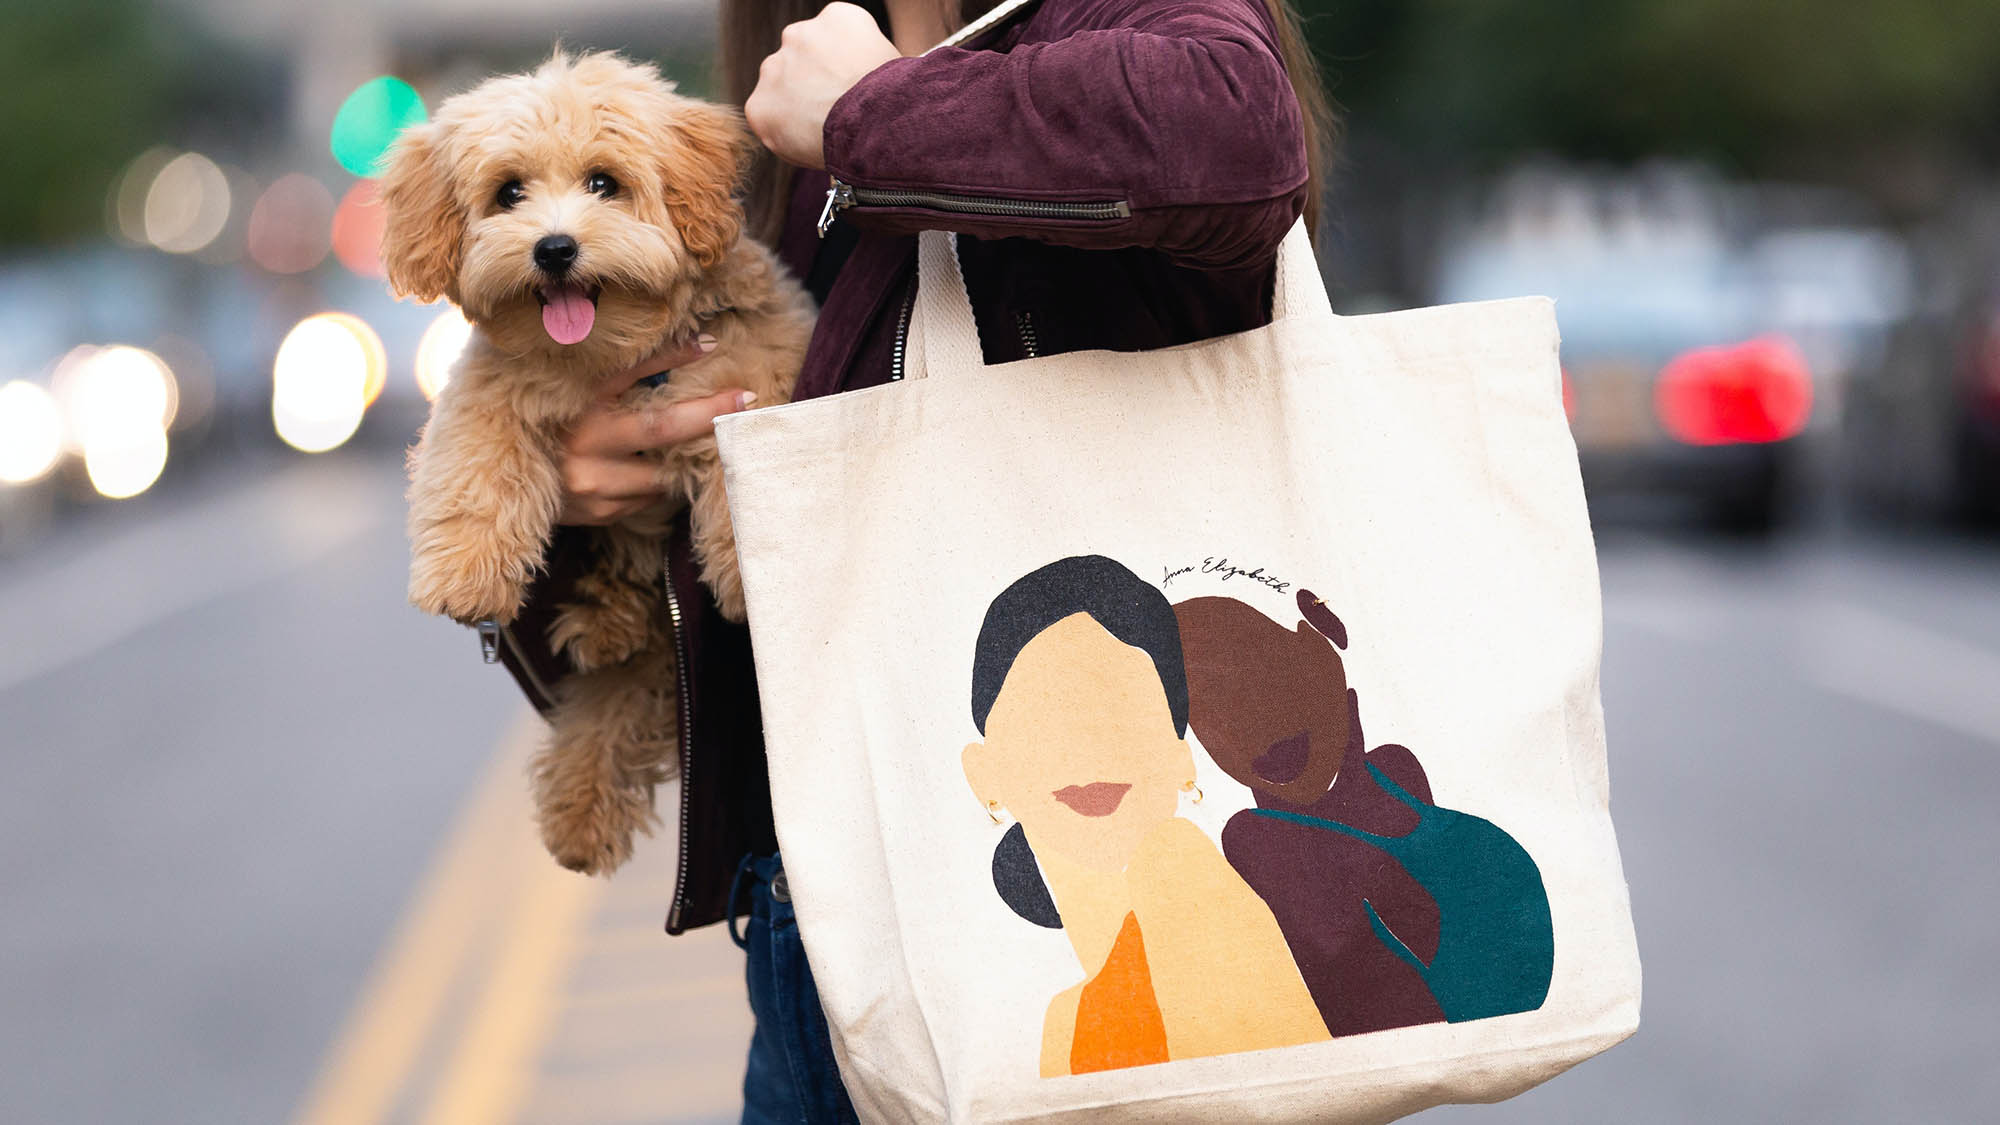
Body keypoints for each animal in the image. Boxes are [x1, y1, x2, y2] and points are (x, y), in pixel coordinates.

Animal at [378, 52, 816, 872]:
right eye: (509, 193)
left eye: (604, 183)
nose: (554, 249)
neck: (609, 355)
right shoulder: (489, 388)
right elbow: (474, 464)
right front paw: (464, 575)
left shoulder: (755, 361)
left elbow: (742, 450)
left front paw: (744, 570)